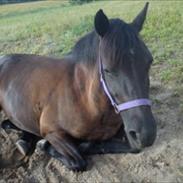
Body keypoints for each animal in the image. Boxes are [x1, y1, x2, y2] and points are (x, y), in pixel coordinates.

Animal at [0, 2, 157, 171]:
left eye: (149, 62)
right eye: (107, 69)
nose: (146, 134)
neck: (85, 100)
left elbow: (132, 147)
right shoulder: (53, 131)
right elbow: (78, 161)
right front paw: (46, 145)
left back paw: (25, 139)